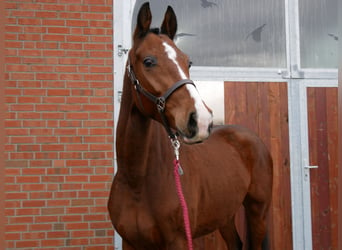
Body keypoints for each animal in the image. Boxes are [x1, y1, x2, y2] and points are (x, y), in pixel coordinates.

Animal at [108, 2, 274, 250]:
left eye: (188, 62)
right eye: (148, 61)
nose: (201, 120)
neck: (136, 180)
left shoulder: (178, 240)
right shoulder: (131, 243)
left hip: (258, 212)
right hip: (224, 214)